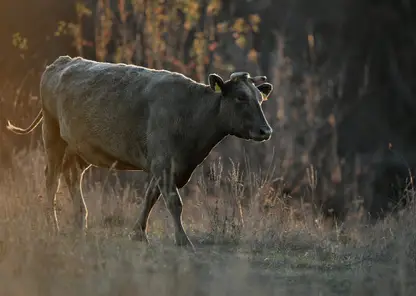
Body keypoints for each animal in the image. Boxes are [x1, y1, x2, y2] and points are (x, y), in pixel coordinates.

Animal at [7, 56, 272, 250]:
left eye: (260, 99)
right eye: (240, 97)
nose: (265, 130)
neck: (190, 112)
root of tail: (62, 61)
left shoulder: (164, 164)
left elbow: (150, 197)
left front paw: (138, 233)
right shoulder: (164, 162)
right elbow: (173, 202)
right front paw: (183, 240)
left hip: (78, 149)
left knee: (72, 176)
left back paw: (80, 220)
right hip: (51, 136)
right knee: (51, 179)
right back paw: (53, 225)